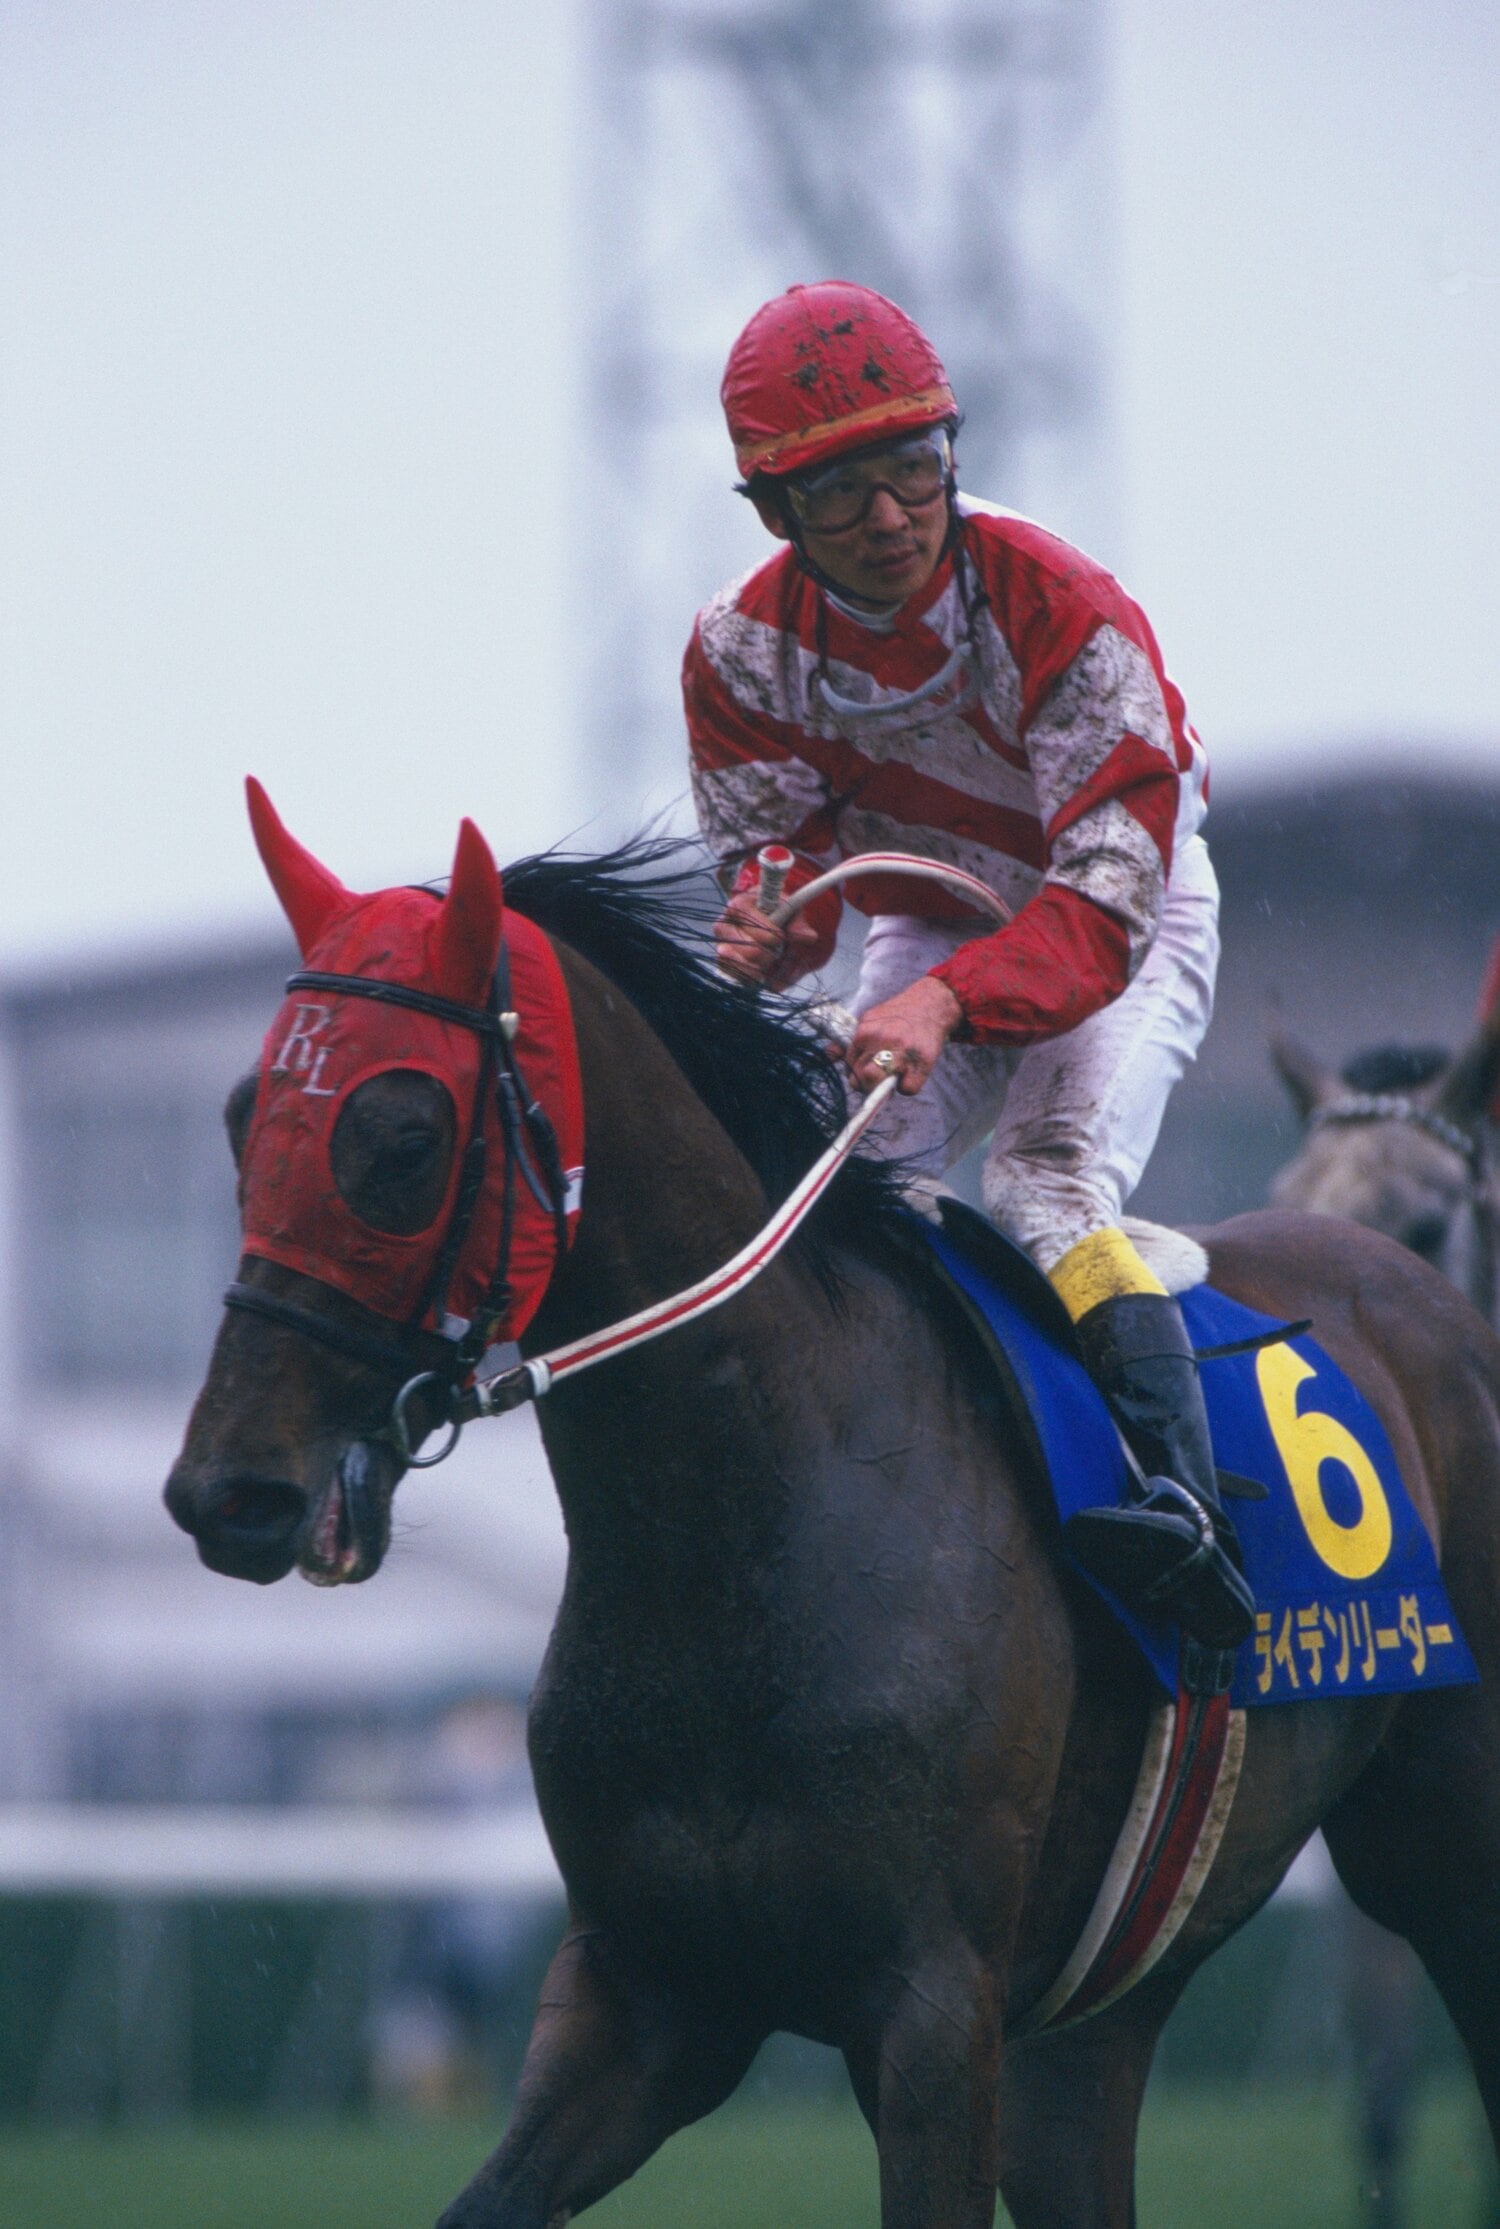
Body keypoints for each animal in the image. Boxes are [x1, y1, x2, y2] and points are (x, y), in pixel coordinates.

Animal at [165, 801, 1500, 2229]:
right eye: (244, 1119)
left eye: (405, 1137)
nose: (228, 1488)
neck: (757, 1514)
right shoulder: (646, 1993)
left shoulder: (936, 2012)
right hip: (1099, 2015)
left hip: (1445, 1860)